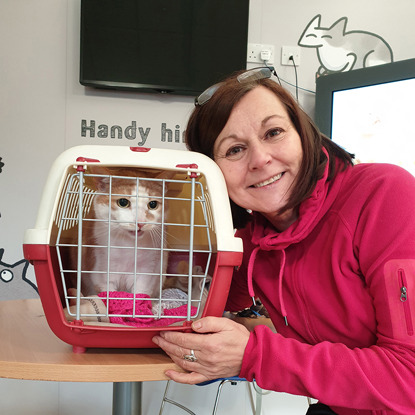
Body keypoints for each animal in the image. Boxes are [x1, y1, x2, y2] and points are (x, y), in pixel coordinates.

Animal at [76, 167, 174, 306]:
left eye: (153, 204)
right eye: (123, 202)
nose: (140, 222)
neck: (129, 246)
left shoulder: (146, 271)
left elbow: (140, 293)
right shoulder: (102, 272)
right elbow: (110, 295)